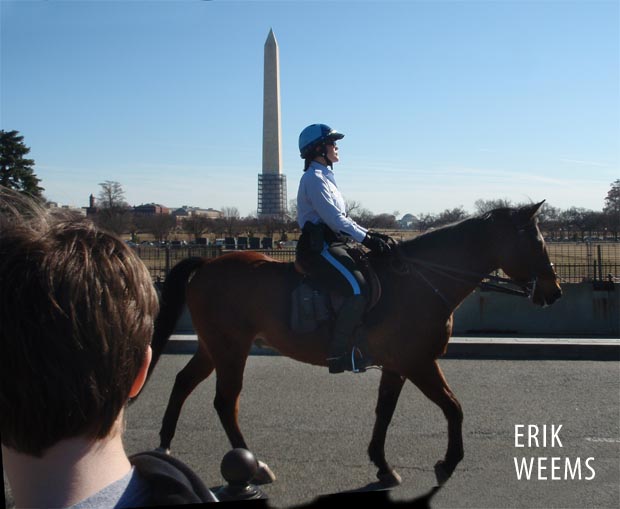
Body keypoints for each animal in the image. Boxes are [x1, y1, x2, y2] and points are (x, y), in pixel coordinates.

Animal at [145, 200, 560, 486]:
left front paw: (382, 464)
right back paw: (254, 465)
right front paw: (448, 462)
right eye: (537, 241)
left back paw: (164, 445)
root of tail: (208, 264)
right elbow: (453, 407)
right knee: (225, 401)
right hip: (231, 348)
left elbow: (385, 412)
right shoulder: (419, 363)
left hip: (214, 346)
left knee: (183, 382)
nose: (555, 291)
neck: (417, 282)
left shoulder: (398, 365)